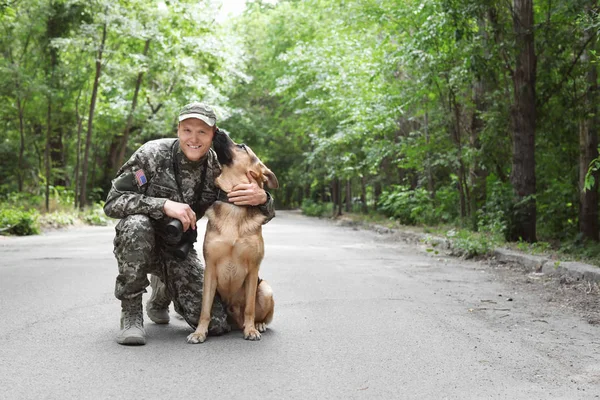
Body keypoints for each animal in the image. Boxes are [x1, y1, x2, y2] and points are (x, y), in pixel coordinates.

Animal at [188, 131, 278, 344]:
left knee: (260, 315)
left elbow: (250, 308)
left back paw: (257, 325)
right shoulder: (210, 269)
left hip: (265, 289)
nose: (219, 130)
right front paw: (200, 332)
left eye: (242, 146)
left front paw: (251, 330)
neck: (234, 205)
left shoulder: (253, 270)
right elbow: (205, 309)